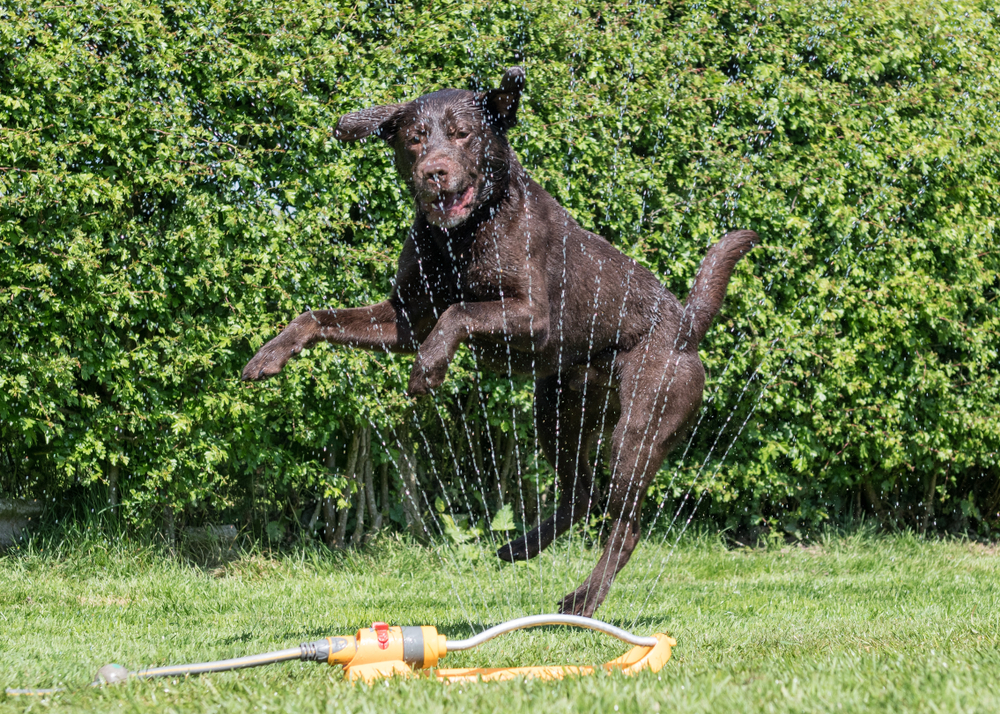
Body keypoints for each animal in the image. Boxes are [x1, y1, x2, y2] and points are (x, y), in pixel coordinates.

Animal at [244, 67, 756, 616]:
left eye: (463, 134)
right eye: (415, 138)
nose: (434, 172)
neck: (462, 234)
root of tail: (686, 325)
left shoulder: (534, 316)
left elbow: (460, 312)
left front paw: (428, 369)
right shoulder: (405, 318)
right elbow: (317, 315)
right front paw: (268, 355)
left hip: (638, 430)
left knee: (624, 525)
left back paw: (582, 599)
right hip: (557, 411)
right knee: (579, 494)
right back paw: (519, 548)